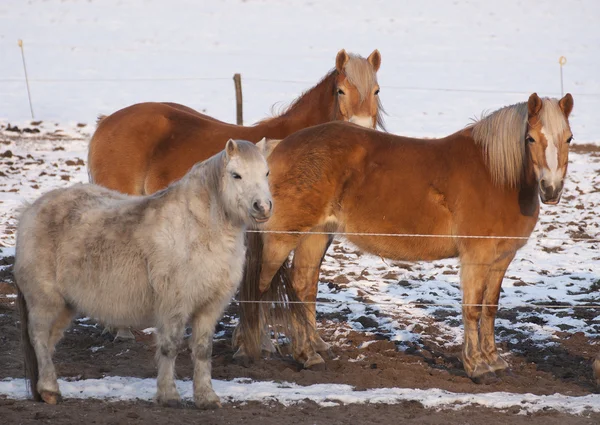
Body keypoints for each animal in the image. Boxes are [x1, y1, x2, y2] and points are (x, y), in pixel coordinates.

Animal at [14, 138, 272, 408]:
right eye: (236, 175)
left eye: (266, 173)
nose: (263, 207)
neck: (196, 229)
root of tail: (30, 210)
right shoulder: (173, 306)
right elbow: (170, 347)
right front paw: (169, 395)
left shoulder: (209, 308)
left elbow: (202, 351)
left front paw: (206, 397)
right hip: (45, 301)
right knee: (39, 338)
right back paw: (49, 390)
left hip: (65, 306)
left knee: (49, 342)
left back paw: (46, 389)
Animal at [237, 93, 576, 384]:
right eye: (530, 138)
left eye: (569, 138)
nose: (550, 189)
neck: (497, 175)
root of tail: (278, 148)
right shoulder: (476, 257)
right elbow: (472, 309)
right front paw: (477, 367)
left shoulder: (502, 258)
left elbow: (490, 309)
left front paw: (494, 361)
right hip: (282, 239)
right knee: (260, 286)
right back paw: (256, 348)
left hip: (316, 236)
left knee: (302, 287)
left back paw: (310, 353)